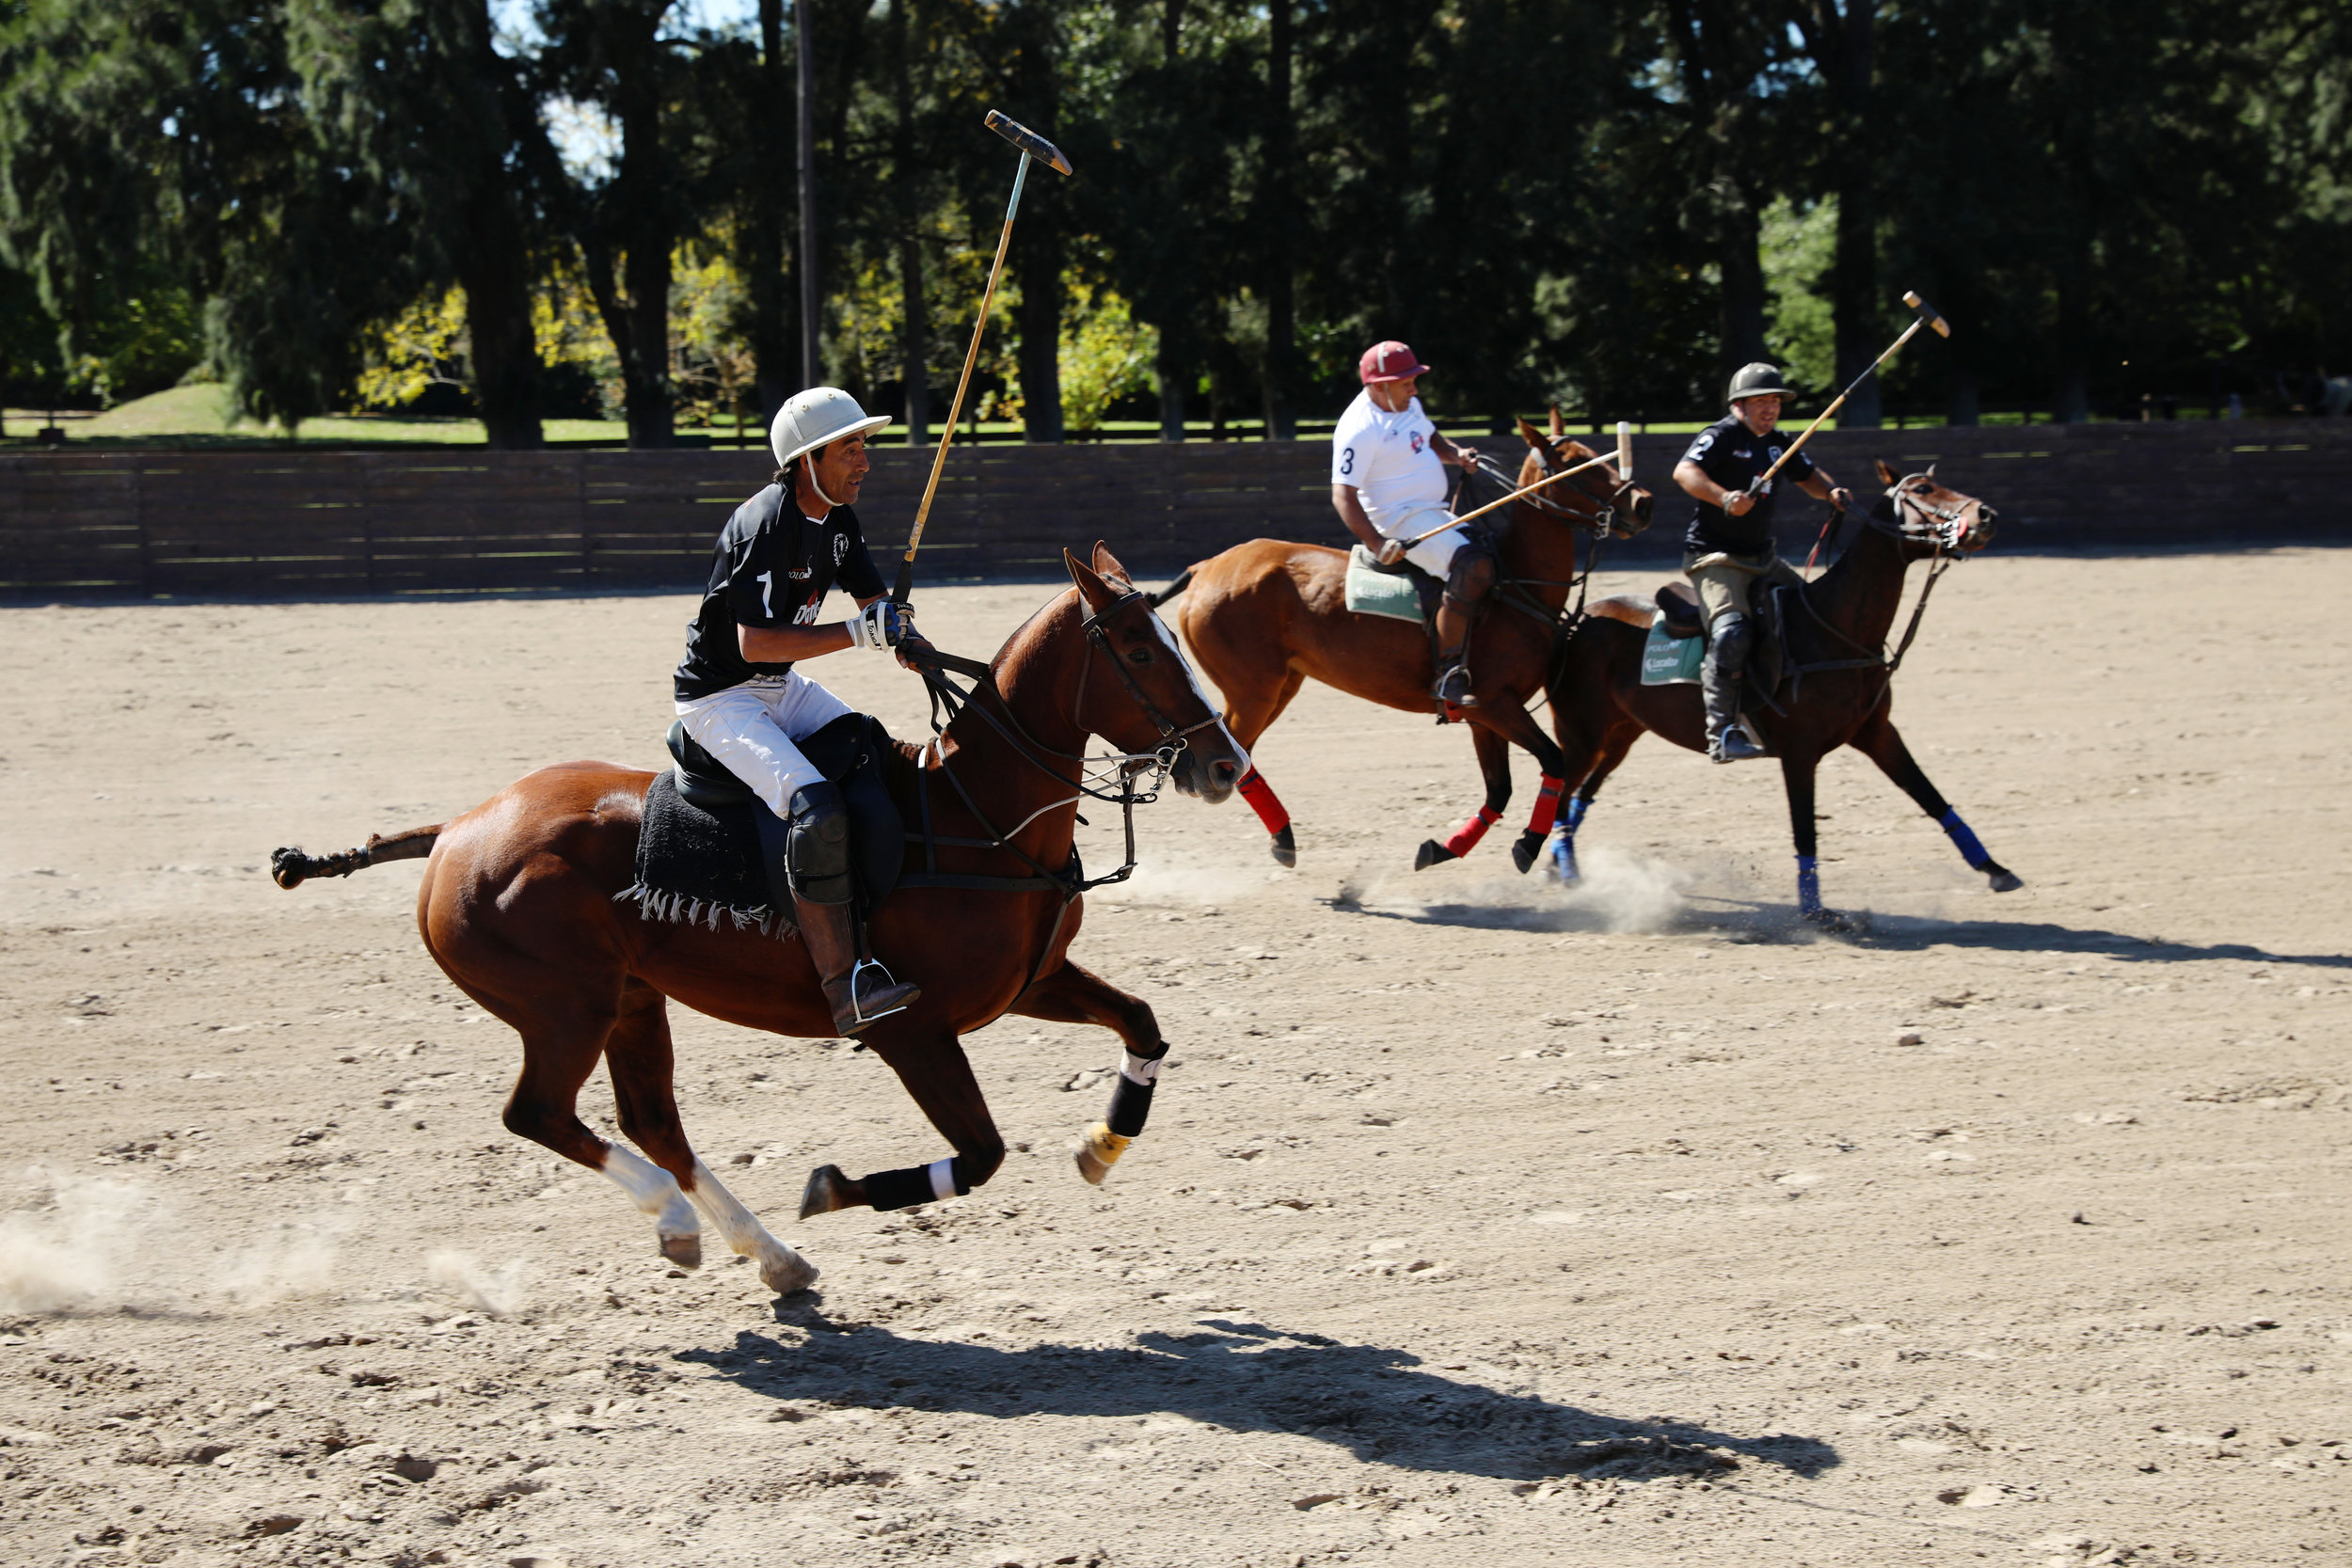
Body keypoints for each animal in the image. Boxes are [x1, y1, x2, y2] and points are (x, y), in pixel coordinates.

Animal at [270, 545, 1251, 1297]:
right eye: (1140, 649)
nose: (1227, 764)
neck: (973, 814)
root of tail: (454, 829)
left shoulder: (1029, 983)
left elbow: (1143, 1024)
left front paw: (1102, 1144)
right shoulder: (911, 1029)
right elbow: (979, 1155)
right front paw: (829, 1186)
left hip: (632, 1000)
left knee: (652, 1121)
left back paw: (770, 1255)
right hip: (564, 1006)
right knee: (539, 1113)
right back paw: (680, 1221)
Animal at [1157, 416, 1656, 879]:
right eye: (1572, 462)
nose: (1643, 503)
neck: (1517, 585)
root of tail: (1205, 567)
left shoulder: (1480, 714)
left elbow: (1499, 788)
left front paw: (1439, 849)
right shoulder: (1495, 703)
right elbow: (1553, 759)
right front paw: (1528, 845)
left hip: (1281, 685)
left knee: (1239, 755)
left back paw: (1284, 839)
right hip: (1253, 690)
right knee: (1230, 755)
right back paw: (1276, 836)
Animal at [1543, 460, 2023, 926]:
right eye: (1922, 490)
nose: (1987, 515)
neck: (1835, 629)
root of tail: (1577, 618)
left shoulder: (1877, 732)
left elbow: (1929, 795)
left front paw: (1996, 869)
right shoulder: (1799, 750)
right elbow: (1805, 828)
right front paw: (1815, 911)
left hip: (1622, 733)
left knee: (1578, 797)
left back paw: (1560, 866)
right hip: (1581, 731)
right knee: (1562, 792)